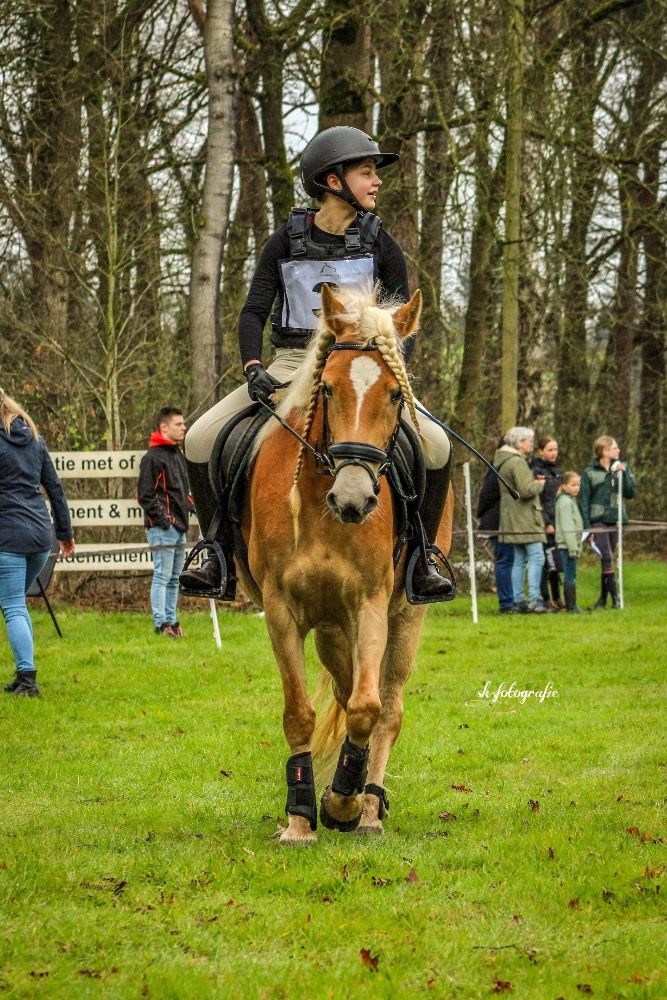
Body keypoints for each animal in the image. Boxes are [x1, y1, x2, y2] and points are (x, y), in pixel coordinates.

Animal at [236, 283, 453, 844]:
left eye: (396, 395)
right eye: (328, 390)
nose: (354, 500)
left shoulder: (371, 603)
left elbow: (367, 708)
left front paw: (341, 804)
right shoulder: (281, 609)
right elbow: (300, 714)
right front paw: (300, 819)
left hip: (404, 615)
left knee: (387, 706)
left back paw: (369, 806)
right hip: (334, 628)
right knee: (345, 683)